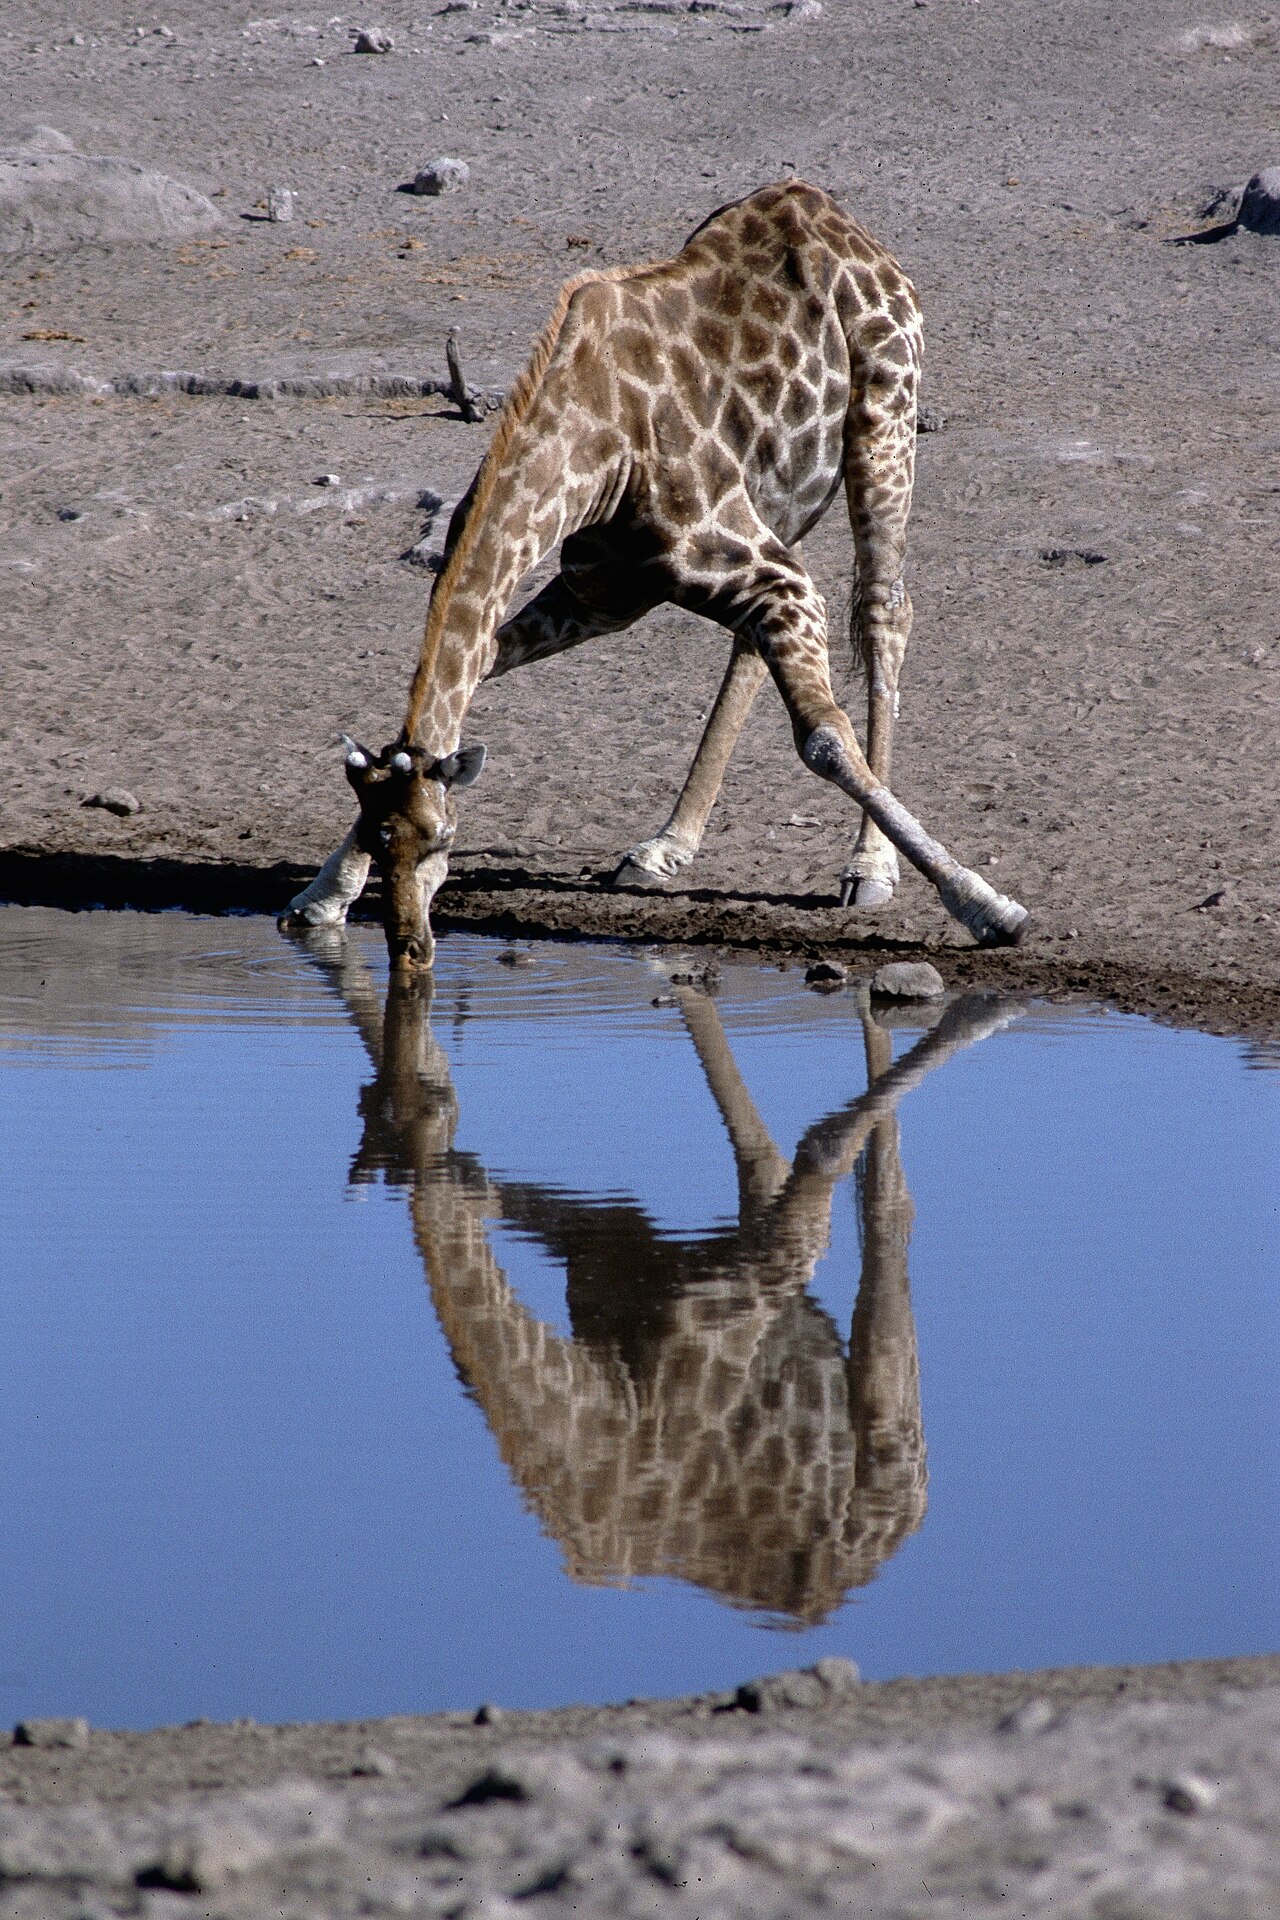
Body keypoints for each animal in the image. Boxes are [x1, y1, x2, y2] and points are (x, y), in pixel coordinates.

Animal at [281, 180, 1030, 966]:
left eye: (442, 839)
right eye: (378, 838)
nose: (411, 948)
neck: (591, 459)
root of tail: (836, 216)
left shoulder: (768, 577)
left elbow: (824, 738)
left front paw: (988, 907)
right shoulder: (603, 596)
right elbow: (477, 668)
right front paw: (320, 897)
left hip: (885, 417)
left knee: (885, 609)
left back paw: (870, 866)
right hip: (779, 495)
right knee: (760, 645)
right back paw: (666, 846)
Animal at [302, 932, 1020, 1620]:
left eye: (409, 1100)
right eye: (368, 1100)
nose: (434, 1083)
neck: (613, 1406)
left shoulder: (777, 1256)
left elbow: (819, 1146)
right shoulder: (606, 1239)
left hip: (891, 1435)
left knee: (889, 1213)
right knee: (771, 1167)